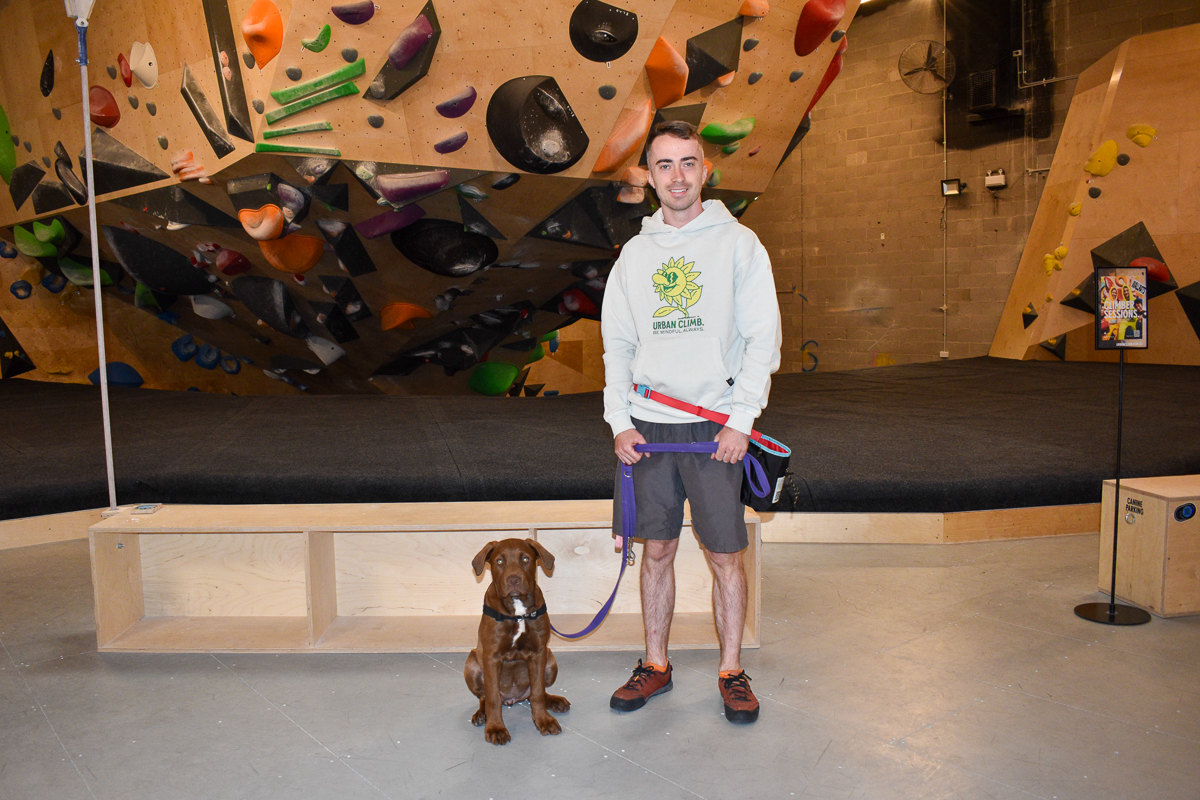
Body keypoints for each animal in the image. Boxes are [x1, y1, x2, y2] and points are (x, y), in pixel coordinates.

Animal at [460, 537, 568, 743]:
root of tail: (512, 699)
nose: (513, 580)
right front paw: (495, 728)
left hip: (551, 659)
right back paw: (481, 715)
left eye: (525, 559)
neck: (518, 610)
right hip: (472, 662)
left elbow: (537, 693)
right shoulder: (492, 656)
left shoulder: (538, 652)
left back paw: (554, 701)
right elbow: (492, 698)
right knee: (484, 697)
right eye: (499, 561)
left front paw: (543, 720)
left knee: (537, 692)